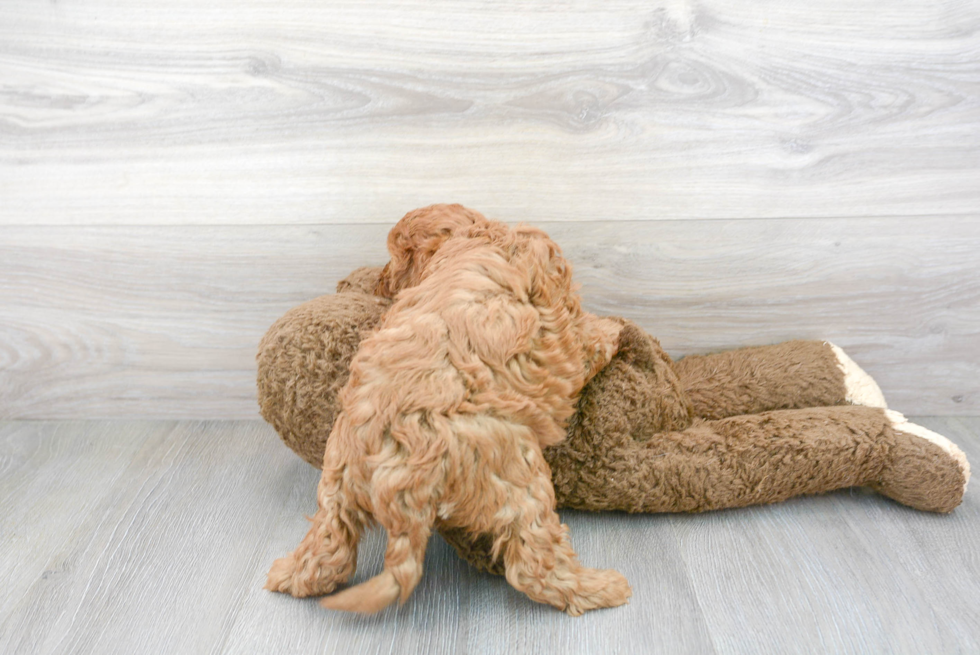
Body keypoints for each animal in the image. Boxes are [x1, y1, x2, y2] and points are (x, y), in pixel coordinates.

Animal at [262, 205, 628, 616]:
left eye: (393, 259)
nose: (381, 284)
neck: (471, 236)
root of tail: (399, 481)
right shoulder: (565, 326)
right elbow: (588, 341)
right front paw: (612, 329)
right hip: (517, 476)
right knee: (534, 565)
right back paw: (602, 588)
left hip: (336, 481)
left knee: (327, 549)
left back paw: (287, 576)